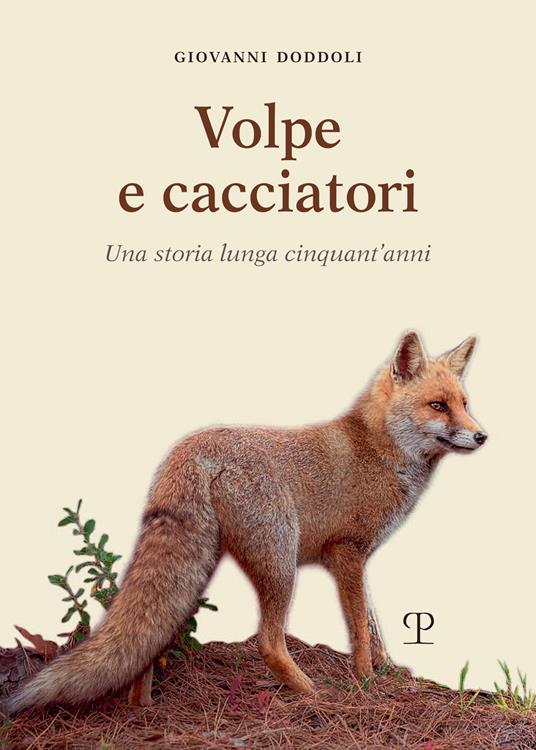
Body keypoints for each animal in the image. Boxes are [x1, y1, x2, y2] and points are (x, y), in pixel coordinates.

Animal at [1, 330, 487, 715]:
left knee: (146, 644)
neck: (379, 451)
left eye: (465, 404)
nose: (482, 435)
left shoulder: (357, 560)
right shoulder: (346, 552)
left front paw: (387, 671)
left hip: (199, 574)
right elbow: (361, 633)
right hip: (281, 562)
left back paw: (144, 708)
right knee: (267, 641)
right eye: (438, 406)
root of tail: (185, 450)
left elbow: (374, 624)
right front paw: (366, 681)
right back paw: (312, 695)